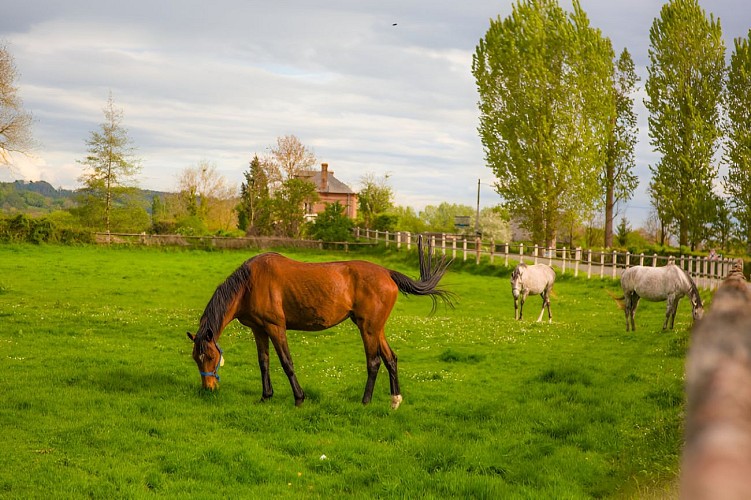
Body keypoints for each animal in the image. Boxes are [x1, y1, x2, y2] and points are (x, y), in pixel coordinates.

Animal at [186, 237, 454, 409]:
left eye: (210, 356)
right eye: (196, 358)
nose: (208, 388)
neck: (250, 284)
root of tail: (387, 273)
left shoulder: (275, 327)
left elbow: (286, 363)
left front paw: (299, 398)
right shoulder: (258, 329)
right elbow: (264, 363)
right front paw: (265, 396)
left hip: (368, 328)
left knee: (374, 362)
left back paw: (365, 401)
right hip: (376, 328)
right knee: (391, 359)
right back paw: (395, 400)